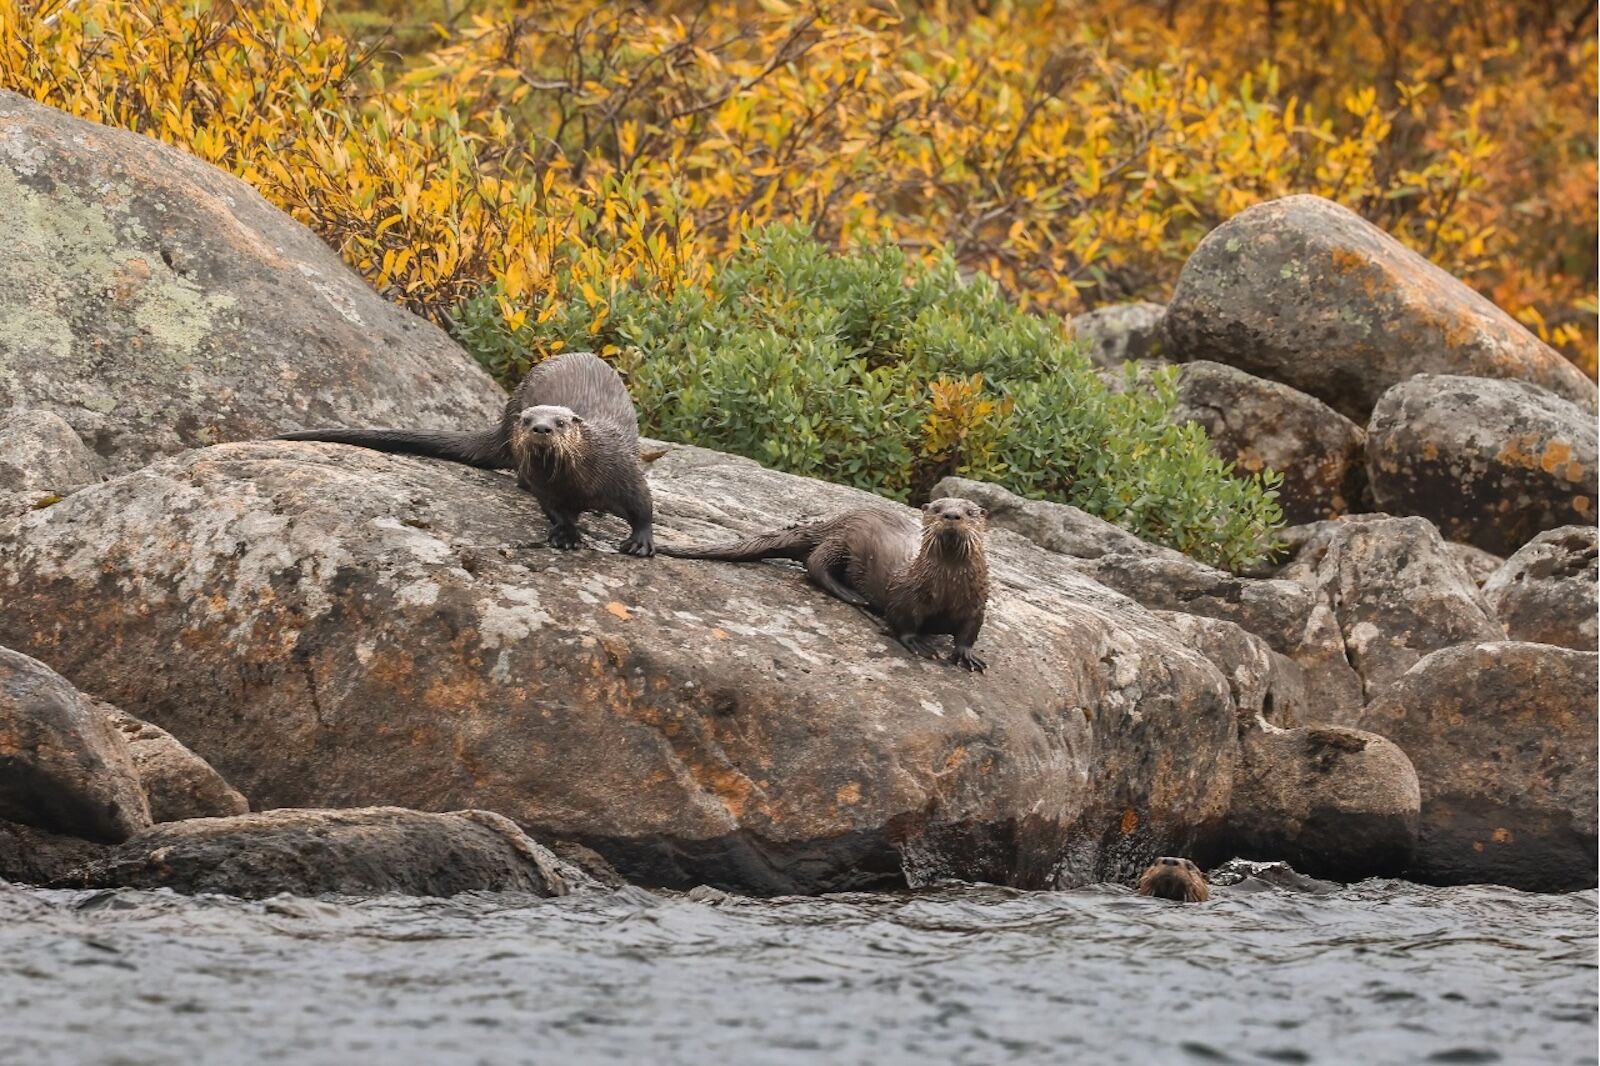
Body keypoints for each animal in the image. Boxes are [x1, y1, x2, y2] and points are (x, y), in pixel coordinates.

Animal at [278, 352, 652, 560]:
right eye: (529, 421)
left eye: (560, 422)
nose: (541, 428)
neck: (580, 483)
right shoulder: (547, 489)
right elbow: (556, 511)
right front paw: (567, 536)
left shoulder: (623, 467)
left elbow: (642, 505)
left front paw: (641, 542)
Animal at [659, 496, 985, 665]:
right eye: (938, 509)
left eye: (970, 512)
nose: (952, 516)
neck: (946, 588)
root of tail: (830, 522)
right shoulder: (905, 594)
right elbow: (901, 619)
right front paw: (916, 642)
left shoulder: (977, 604)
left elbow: (969, 631)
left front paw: (966, 655)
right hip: (842, 542)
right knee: (815, 564)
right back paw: (851, 594)